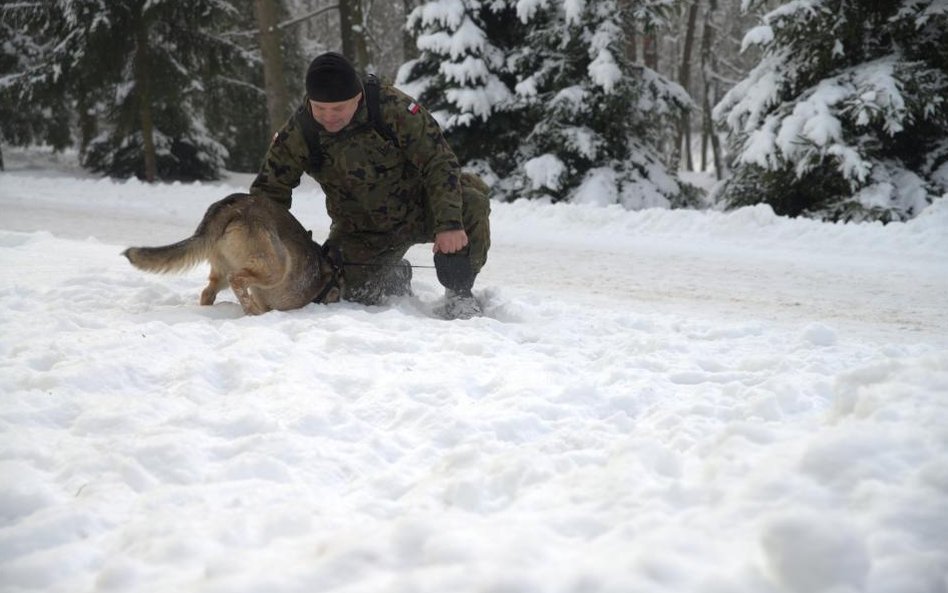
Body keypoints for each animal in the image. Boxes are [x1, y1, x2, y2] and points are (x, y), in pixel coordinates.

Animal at [124, 193, 340, 314]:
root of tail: (229, 205)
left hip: (224, 270)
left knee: (208, 292)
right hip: (275, 266)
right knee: (238, 280)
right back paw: (254, 314)